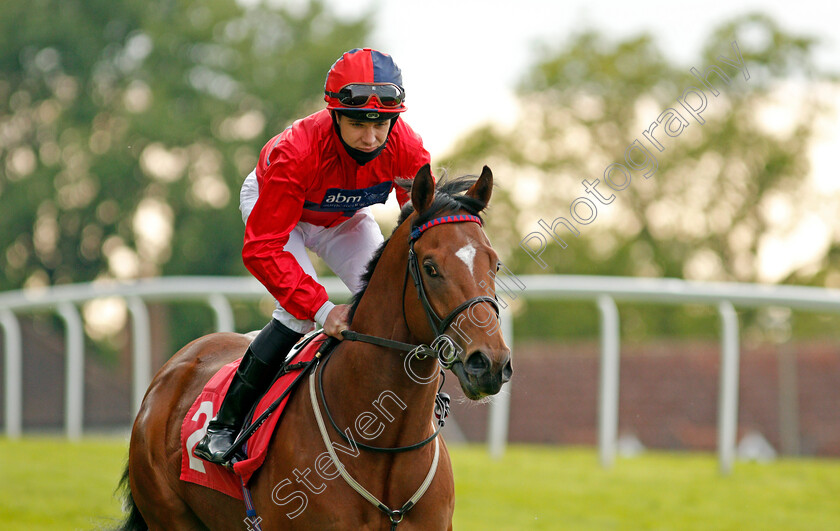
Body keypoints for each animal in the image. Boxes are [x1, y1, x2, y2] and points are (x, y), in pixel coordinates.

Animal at [118, 164, 512, 528]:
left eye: (494, 263)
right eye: (431, 267)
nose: (489, 363)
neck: (383, 443)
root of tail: (171, 371)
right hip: (168, 516)